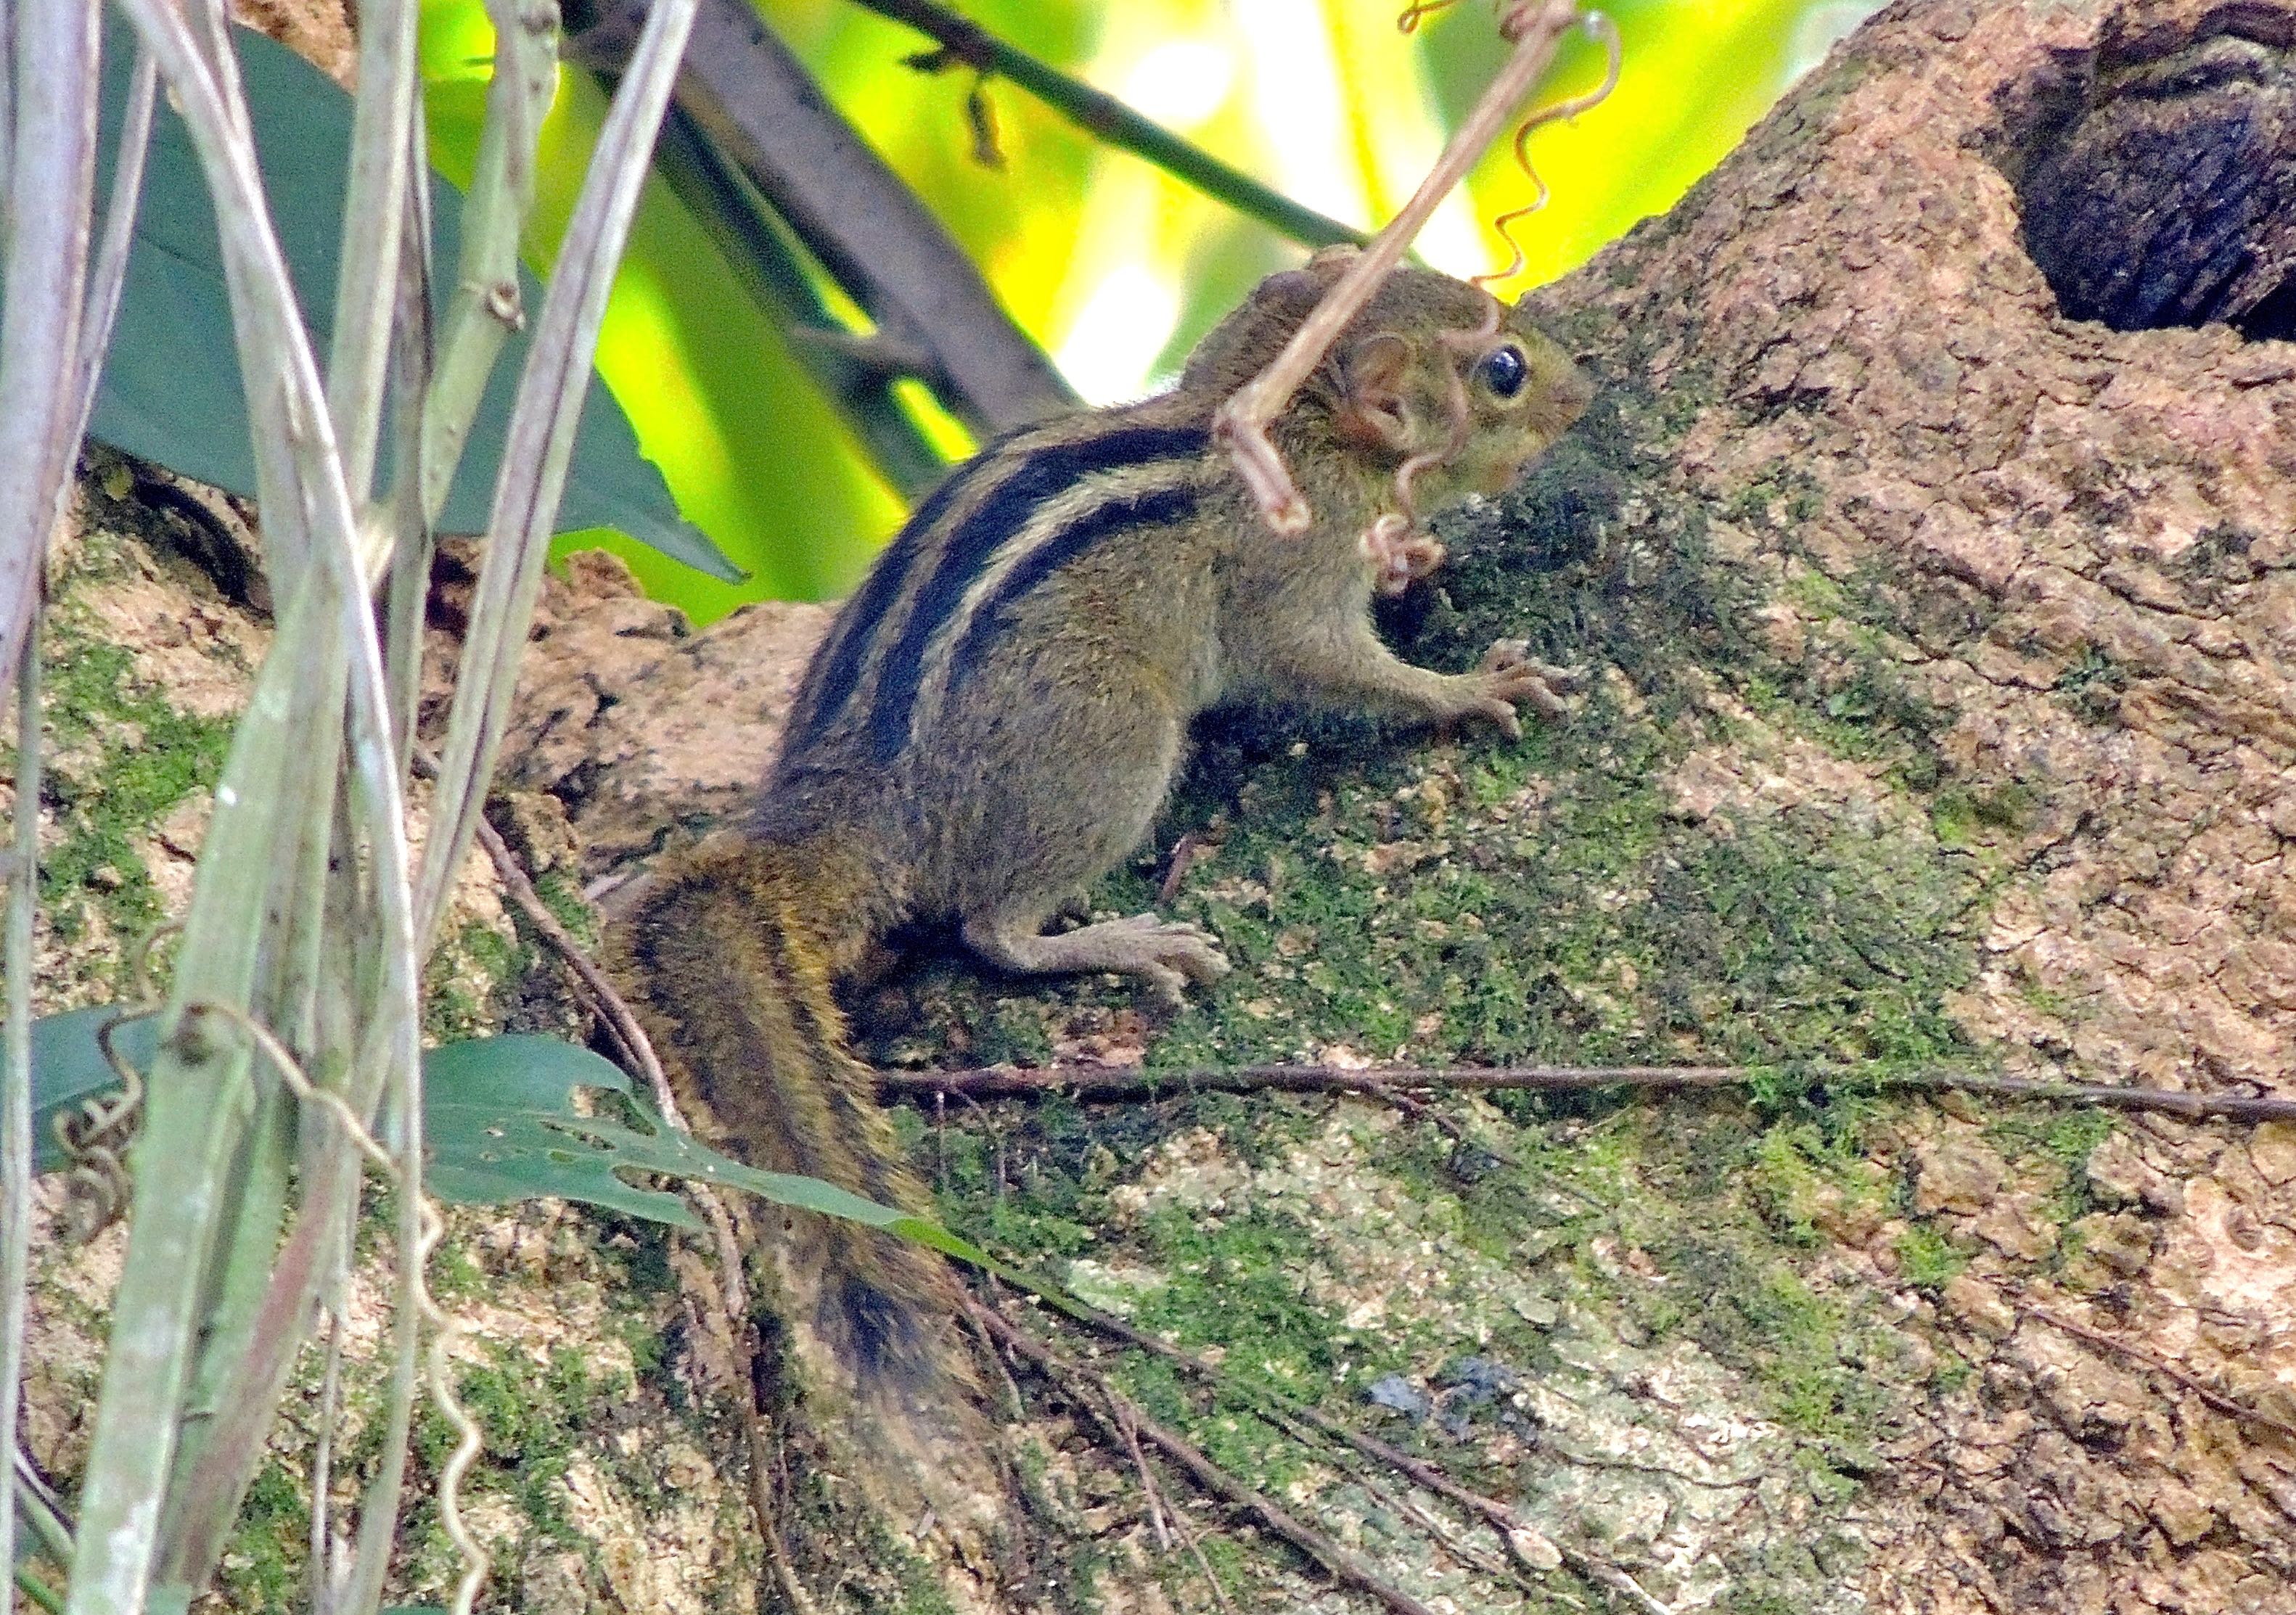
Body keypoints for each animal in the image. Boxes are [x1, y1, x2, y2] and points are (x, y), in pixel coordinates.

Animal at [601, 255, 1588, 1440]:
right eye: (1503, 371)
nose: (1585, 392)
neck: (1278, 418)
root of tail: (858, 808)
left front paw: (1414, 556)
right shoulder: (1288, 574)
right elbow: (1333, 668)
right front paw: (1472, 688)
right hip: (1113, 746)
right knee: (994, 929)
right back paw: (1126, 942)